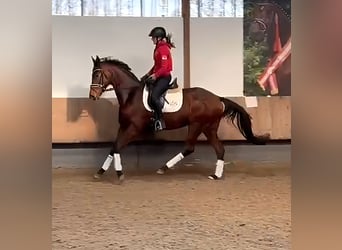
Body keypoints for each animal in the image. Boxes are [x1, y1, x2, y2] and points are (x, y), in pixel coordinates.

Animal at [88, 55, 270, 182]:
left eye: (97, 75)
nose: (92, 96)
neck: (131, 94)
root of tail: (218, 98)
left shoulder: (134, 128)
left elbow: (118, 147)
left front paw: (119, 173)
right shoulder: (124, 127)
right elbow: (113, 147)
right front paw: (100, 172)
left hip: (197, 124)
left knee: (189, 147)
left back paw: (164, 168)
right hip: (209, 127)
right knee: (219, 149)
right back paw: (215, 176)